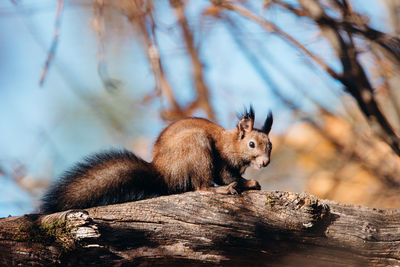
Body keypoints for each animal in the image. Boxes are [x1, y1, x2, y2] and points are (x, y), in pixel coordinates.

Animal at [39, 107, 272, 214]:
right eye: (252, 144)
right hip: (197, 148)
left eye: (269, 145)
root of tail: (164, 173)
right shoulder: (224, 162)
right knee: (201, 187)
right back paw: (220, 190)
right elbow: (228, 177)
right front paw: (249, 183)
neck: (232, 142)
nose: (265, 163)